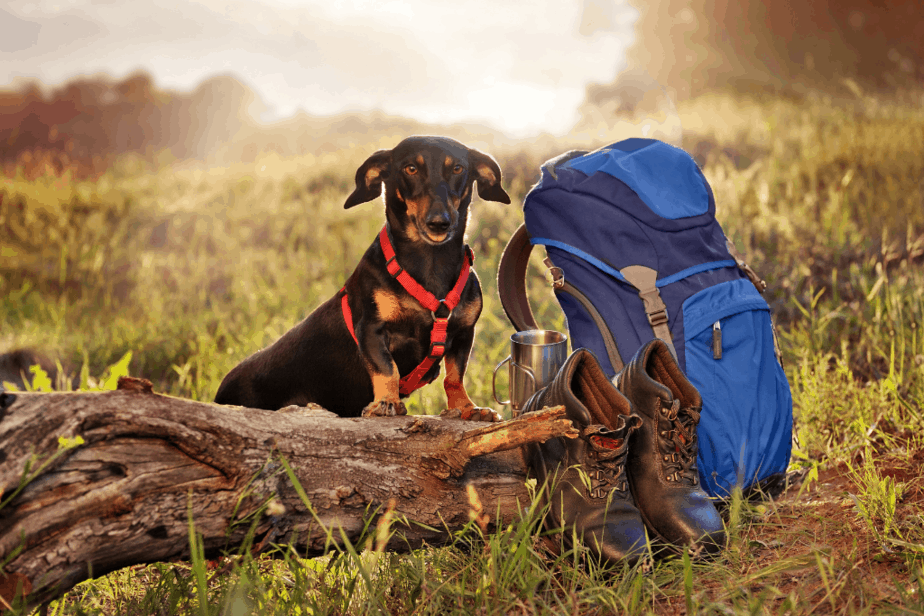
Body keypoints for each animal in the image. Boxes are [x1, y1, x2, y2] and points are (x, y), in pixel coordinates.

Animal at [217, 137, 512, 422]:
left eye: (458, 169)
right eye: (410, 169)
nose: (439, 223)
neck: (430, 260)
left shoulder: (463, 332)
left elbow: (454, 377)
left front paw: (467, 408)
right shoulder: (371, 329)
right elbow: (387, 369)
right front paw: (387, 402)